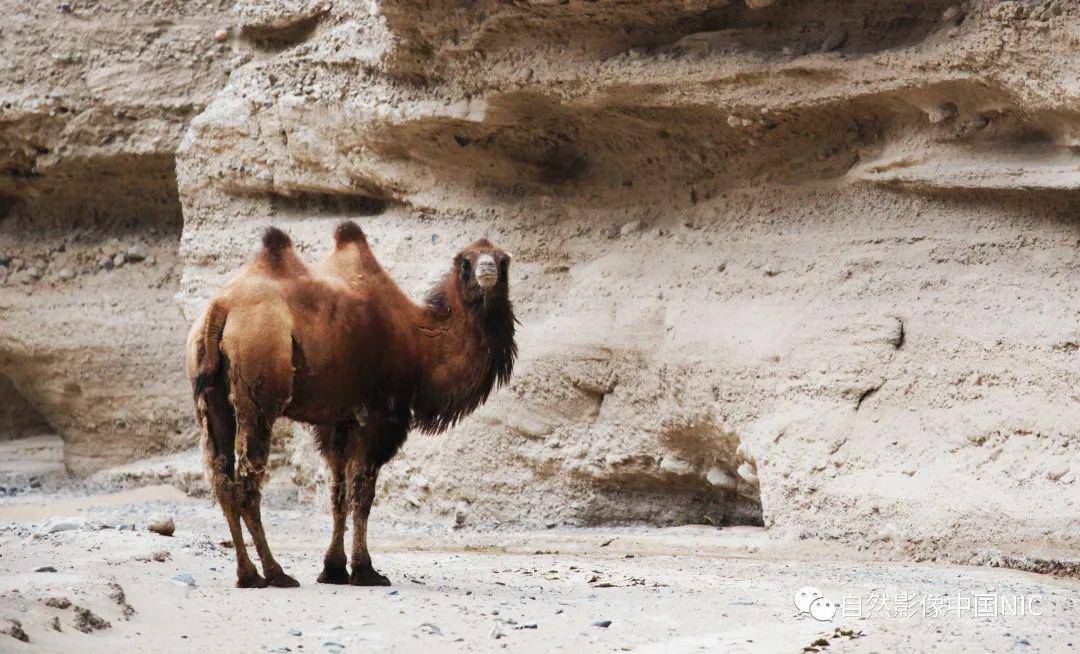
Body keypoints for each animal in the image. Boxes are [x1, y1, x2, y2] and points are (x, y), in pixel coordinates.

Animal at [185, 224, 514, 591]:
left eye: (503, 259)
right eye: (465, 263)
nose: (488, 269)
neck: (419, 343)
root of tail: (219, 309)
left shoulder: (337, 420)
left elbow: (337, 492)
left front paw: (334, 569)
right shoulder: (380, 414)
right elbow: (362, 490)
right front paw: (364, 569)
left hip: (211, 397)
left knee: (221, 478)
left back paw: (248, 573)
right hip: (259, 382)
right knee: (247, 481)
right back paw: (274, 572)